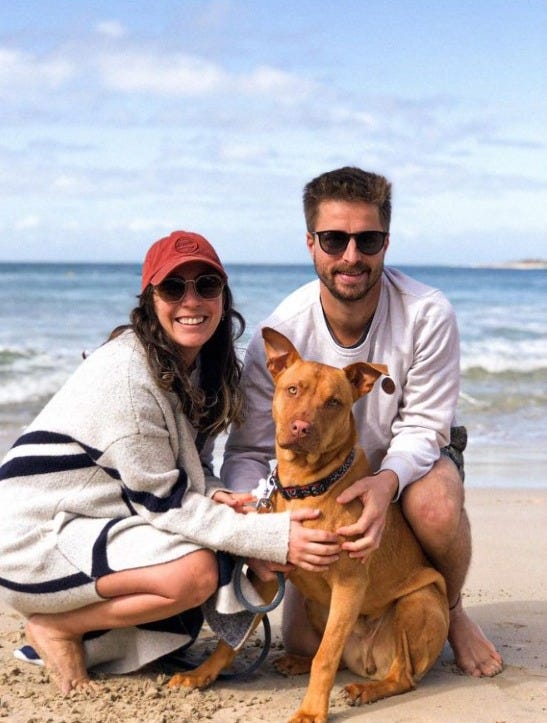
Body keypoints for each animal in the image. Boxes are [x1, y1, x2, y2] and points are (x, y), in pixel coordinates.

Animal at [168, 330, 450, 723]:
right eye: (293, 390)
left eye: (333, 402)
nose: (301, 428)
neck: (306, 484)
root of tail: (368, 661)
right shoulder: (266, 578)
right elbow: (230, 642)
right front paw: (201, 675)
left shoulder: (349, 584)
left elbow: (326, 657)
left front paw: (312, 710)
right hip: (318, 605)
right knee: (338, 655)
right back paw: (297, 662)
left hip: (417, 602)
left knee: (399, 674)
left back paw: (368, 689)